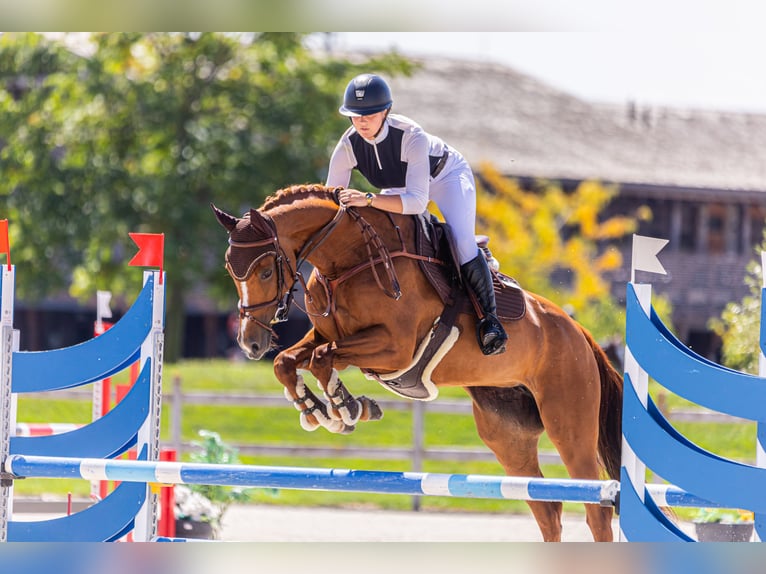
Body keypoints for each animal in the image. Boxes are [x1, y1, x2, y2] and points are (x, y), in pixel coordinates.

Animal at [212, 183, 623, 542]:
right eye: (231, 270)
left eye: (266, 271)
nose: (250, 343)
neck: (349, 261)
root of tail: (580, 333)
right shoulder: (328, 335)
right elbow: (288, 361)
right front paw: (317, 411)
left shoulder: (394, 348)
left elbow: (320, 359)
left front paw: (347, 408)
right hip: (508, 434)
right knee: (547, 510)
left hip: (569, 425)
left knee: (596, 509)